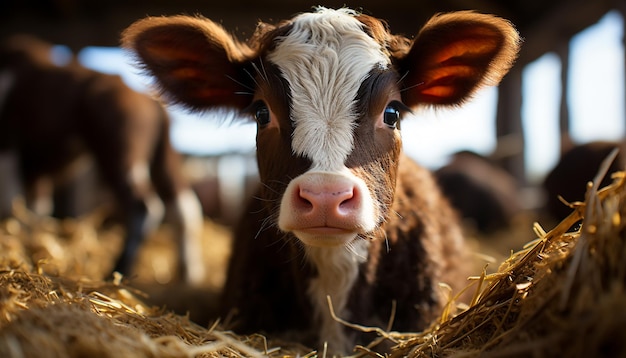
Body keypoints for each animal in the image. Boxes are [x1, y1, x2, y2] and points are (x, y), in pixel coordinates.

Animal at [0, 34, 206, 286]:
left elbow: (12, 204)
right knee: (185, 205)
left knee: (143, 206)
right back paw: (190, 275)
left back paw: (117, 271)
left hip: (120, 152)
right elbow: (34, 210)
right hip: (164, 154)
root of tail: (148, 100)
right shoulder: (35, 167)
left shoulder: (8, 146)